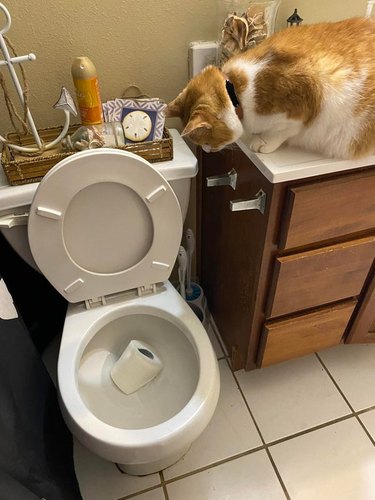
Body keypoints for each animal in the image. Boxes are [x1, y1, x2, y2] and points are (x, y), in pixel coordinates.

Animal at [167, 17, 375, 159]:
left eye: (206, 141)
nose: (206, 150)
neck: (238, 92)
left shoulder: (305, 106)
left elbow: (282, 131)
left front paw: (263, 142)